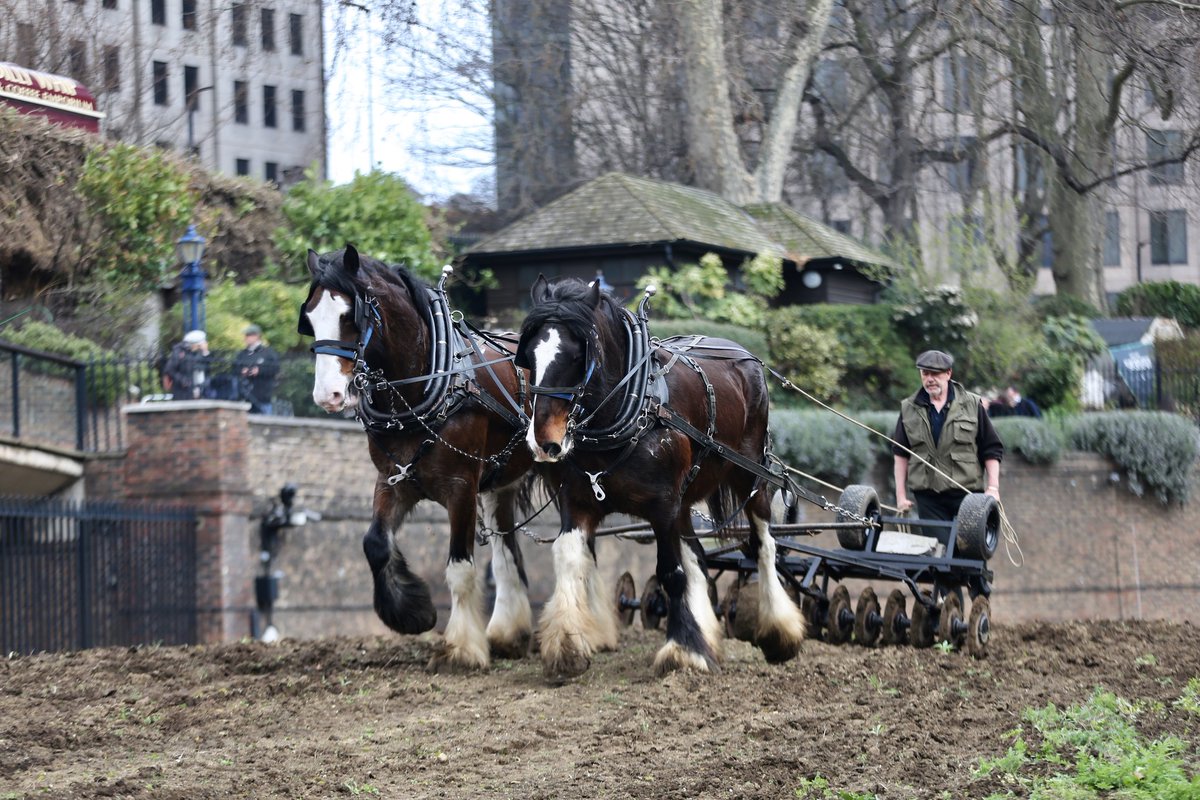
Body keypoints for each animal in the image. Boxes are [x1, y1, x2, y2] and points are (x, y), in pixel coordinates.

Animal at [298, 245, 536, 671]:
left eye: (349, 316)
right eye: (309, 317)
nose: (328, 396)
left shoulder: (461, 487)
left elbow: (459, 569)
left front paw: (462, 648)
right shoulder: (393, 480)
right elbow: (375, 543)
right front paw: (411, 613)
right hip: (501, 483)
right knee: (508, 553)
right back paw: (511, 633)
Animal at [515, 275, 807, 678]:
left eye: (577, 356)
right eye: (528, 357)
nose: (545, 442)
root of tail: (745, 356)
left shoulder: (663, 506)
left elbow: (671, 572)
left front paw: (683, 650)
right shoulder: (577, 503)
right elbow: (570, 558)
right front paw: (566, 646)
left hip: (749, 477)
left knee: (763, 545)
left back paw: (779, 632)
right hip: (686, 499)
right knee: (699, 559)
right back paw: (708, 635)